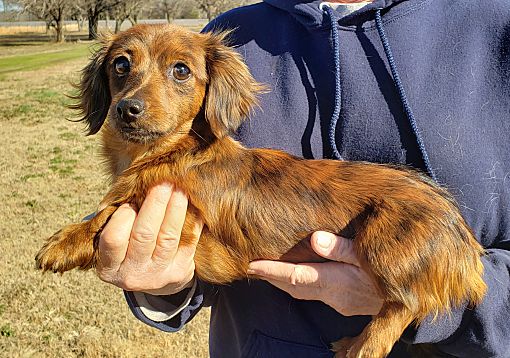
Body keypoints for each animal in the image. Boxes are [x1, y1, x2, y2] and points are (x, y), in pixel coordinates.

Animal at [34, 25, 486, 358]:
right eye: (121, 64)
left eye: (181, 70)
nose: (127, 110)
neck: (168, 152)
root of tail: (463, 238)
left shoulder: (191, 220)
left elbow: (110, 211)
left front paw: (64, 243)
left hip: (383, 240)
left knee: (405, 305)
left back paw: (360, 345)